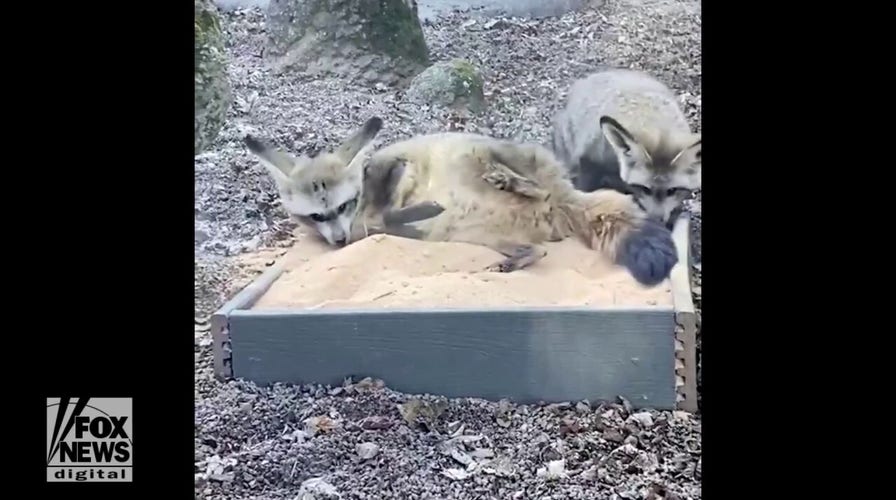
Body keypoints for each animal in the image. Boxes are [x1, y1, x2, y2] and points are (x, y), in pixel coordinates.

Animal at [351, 126, 679, 287]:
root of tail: (562, 202)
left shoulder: (391, 168)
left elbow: (391, 197)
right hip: (481, 233)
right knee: (534, 247)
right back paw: (521, 256)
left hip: (487, 153)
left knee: (533, 185)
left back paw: (519, 184)